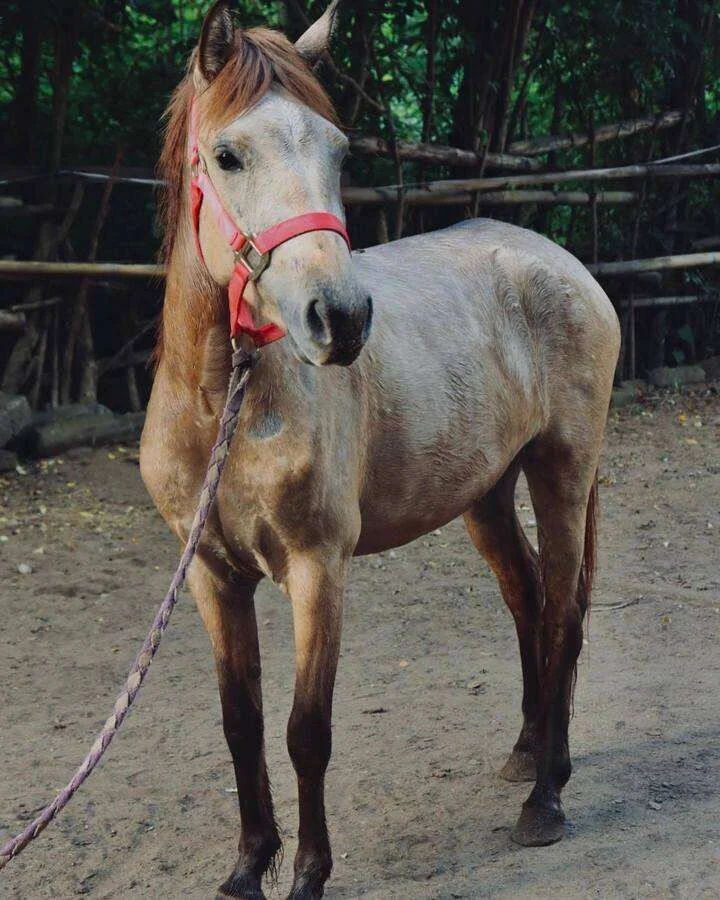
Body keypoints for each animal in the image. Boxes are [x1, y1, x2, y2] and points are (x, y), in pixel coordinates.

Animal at [140, 2, 621, 897]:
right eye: (227, 154)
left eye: (337, 151)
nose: (342, 317)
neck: (226, 404)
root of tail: (561, 262)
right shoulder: (213, 576)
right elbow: (240, 721)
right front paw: (248, 864)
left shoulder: (316, 568)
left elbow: (306, 730)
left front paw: (307, 873)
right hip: (486, 494)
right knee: (530, 601)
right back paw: (529, 752)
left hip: (562, 474)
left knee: (564, 618)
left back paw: (545, 798)